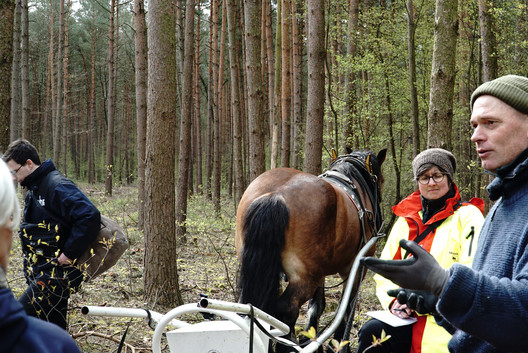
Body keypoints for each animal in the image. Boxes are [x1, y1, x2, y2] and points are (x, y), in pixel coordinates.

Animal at [237, 148, 386, 346]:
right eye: (380, 180)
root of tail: (276, 195)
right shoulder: (354, 270)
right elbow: (345, 310)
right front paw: (338, 344)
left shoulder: (321, 272)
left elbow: (316, 308)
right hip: (305, 278)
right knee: (286, 311)